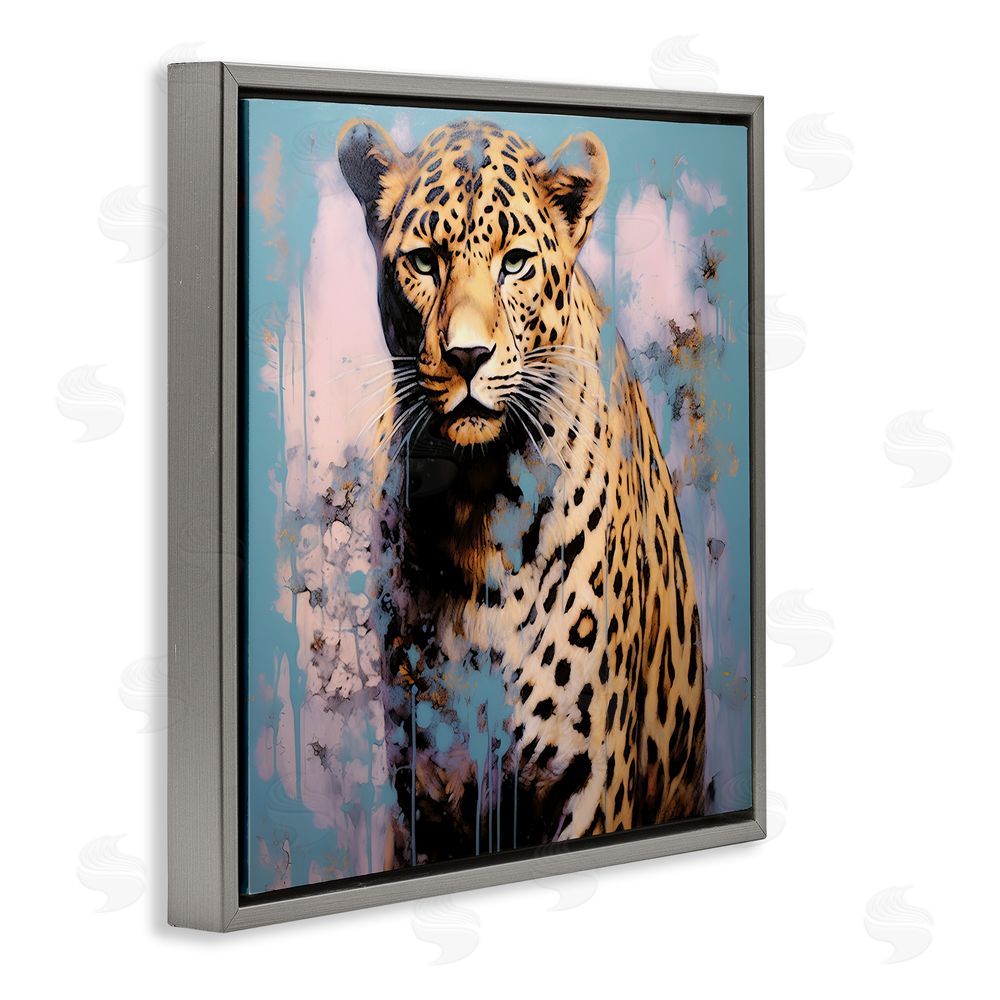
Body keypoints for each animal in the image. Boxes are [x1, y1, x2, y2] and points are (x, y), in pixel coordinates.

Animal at [337, 117, 706, 868]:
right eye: (424, 261)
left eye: (515, 262)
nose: (467, 357)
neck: (475, 505)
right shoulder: (424, 794)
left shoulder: (583, 778)